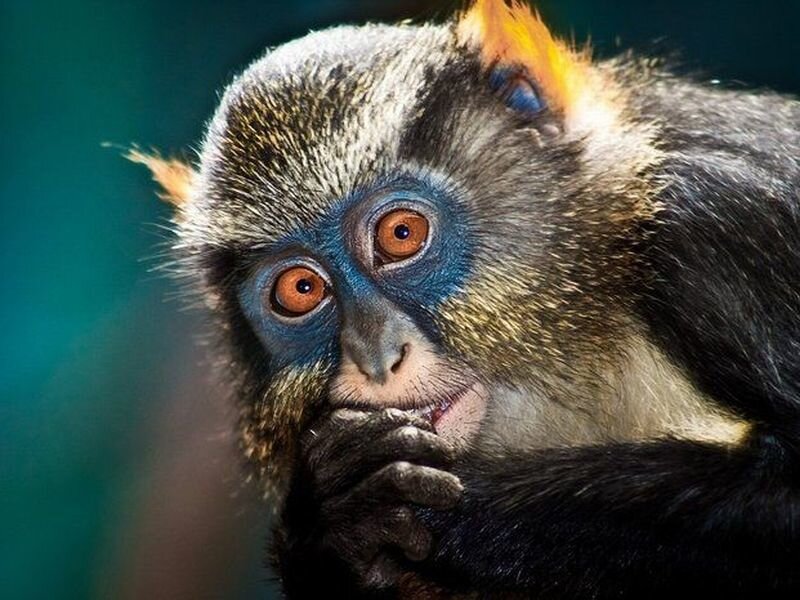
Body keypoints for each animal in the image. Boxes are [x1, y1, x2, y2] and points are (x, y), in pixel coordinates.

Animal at [131, 0, 800, 597]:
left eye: (401, 234)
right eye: (301, 290)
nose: (376, 359)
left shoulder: (714, 223)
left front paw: (418, 509)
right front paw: (330, 520)